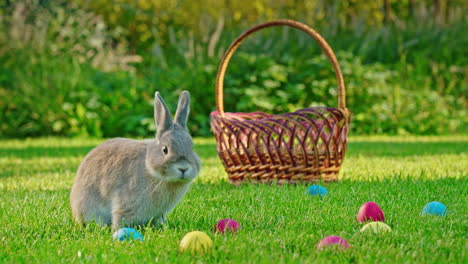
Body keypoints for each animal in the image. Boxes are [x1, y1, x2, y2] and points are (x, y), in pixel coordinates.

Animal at [70, 91, 201, 231]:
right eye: (165, 149)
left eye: (192, 148)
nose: (183, 168)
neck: (149, 168)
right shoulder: (124, 204)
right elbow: (120, 217)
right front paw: (117, 230)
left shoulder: (158, 214)